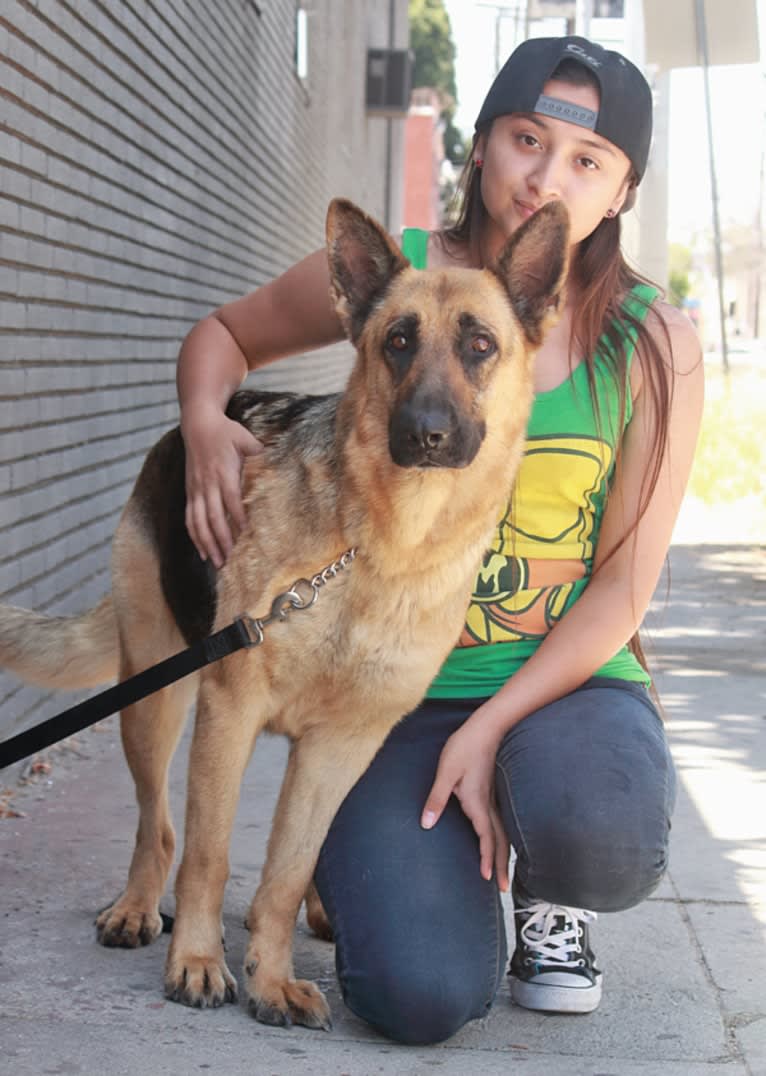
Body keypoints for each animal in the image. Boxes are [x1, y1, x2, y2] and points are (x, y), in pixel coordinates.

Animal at [0, 197, 563, 1028]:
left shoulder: (340, 744)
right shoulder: (229, 712)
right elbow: (208, 855)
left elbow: (289, 871)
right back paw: (137, 907)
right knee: (158, 827)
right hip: (155, 700)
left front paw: (269, 974)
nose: (426, 432)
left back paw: (320, 916)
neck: (382, 545)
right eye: (397, 342)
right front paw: (199, 962)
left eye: (480, 345)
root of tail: (182, 431)